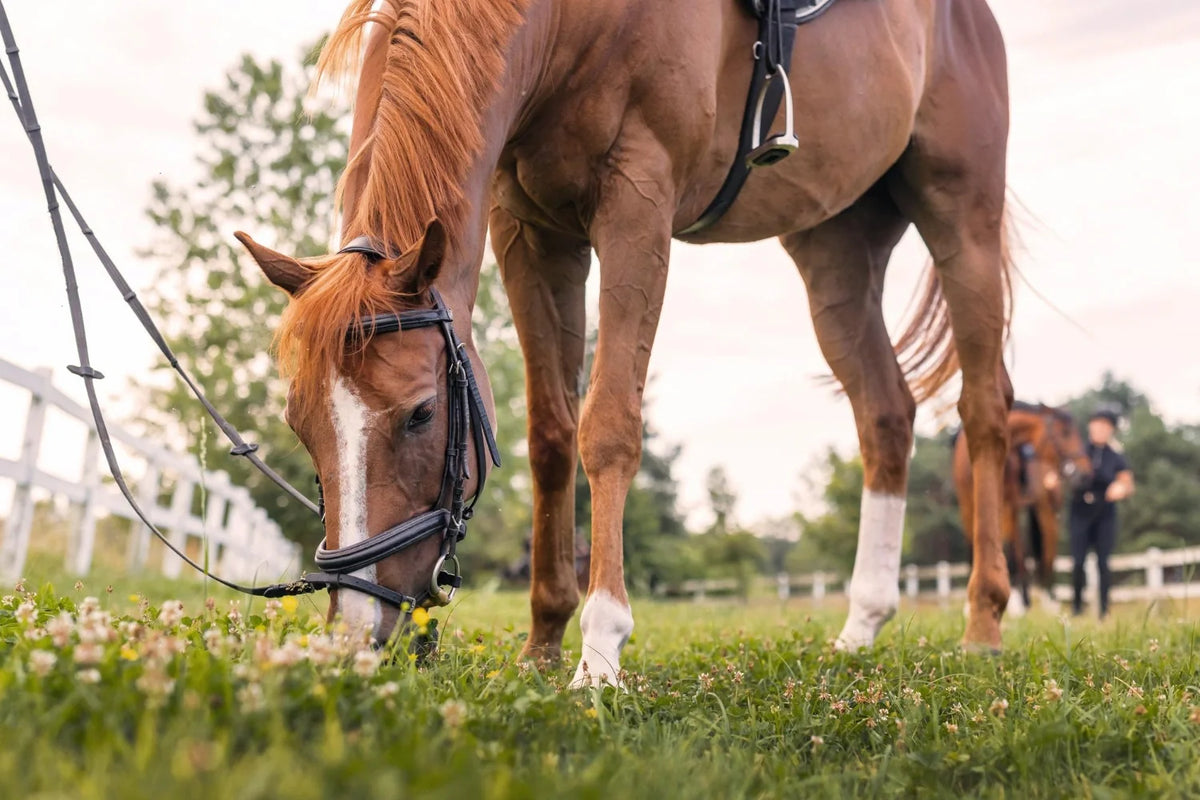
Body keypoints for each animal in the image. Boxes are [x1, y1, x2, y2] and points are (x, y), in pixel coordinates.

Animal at [233, 0, 1016, 684]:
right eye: (298, 426)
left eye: (421, 413)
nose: (353, 634)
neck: (574, 22)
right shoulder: (530, 230)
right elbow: (552, 435)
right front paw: (543, 643)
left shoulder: (636, 200)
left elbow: (607, 425)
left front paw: (600, 652)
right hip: (835, 248)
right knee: (885, 414)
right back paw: (862, 625)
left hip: (963, 219)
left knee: (983, 409)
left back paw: (983, 624)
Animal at [953, 402, 1091, 615]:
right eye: (1065, 432)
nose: (1085, 474)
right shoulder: (970, 505)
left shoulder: (1010, 505)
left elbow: (1013, 549)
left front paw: (1016, 602)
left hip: (1040, 509)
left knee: (1041, 548)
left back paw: (1042, 598)